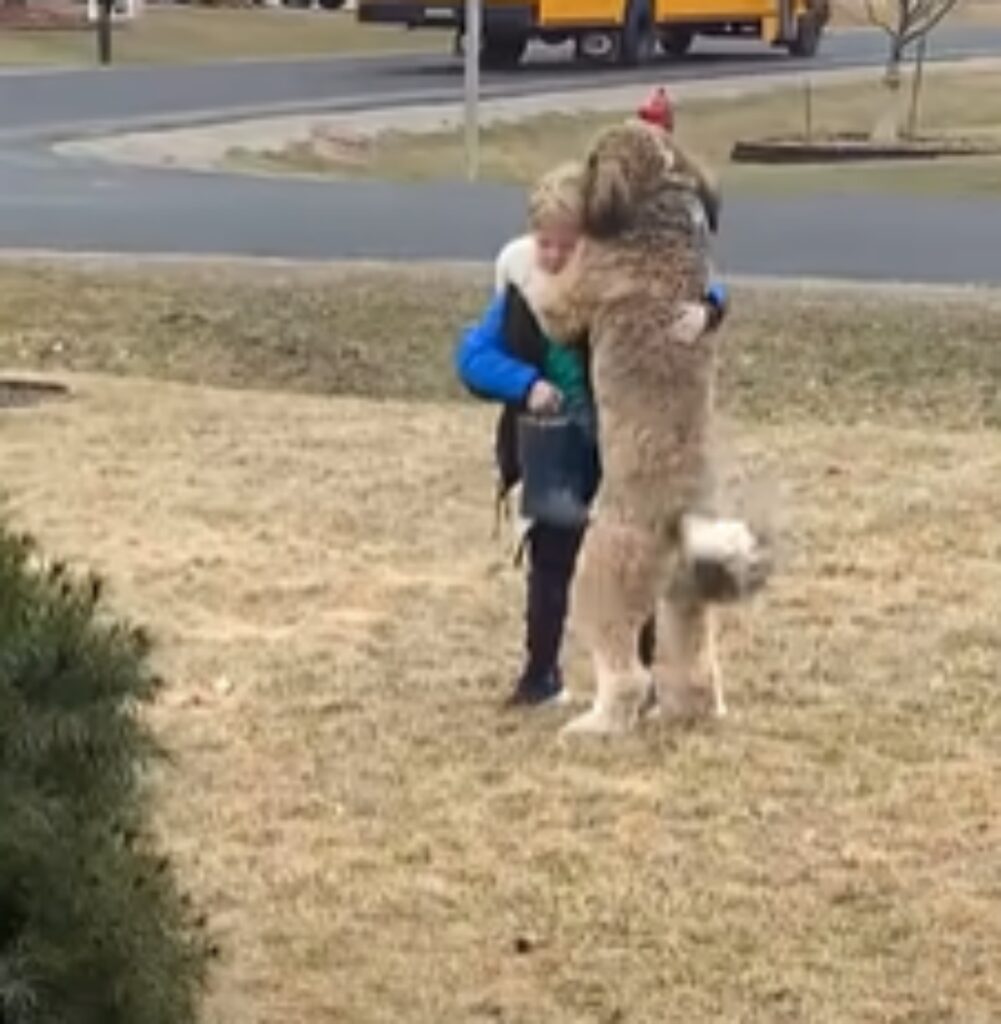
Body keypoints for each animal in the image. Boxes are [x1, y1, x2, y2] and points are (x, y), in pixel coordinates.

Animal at [521, 121, 765, 737]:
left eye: (592, 160)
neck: (660, 205)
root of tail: (682, 523)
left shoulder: (574, 294)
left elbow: (548, 292)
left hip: (598, 582)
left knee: (626, 673)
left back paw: (596, 725)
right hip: (684, 602)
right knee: (693, 664)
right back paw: (693, 711)